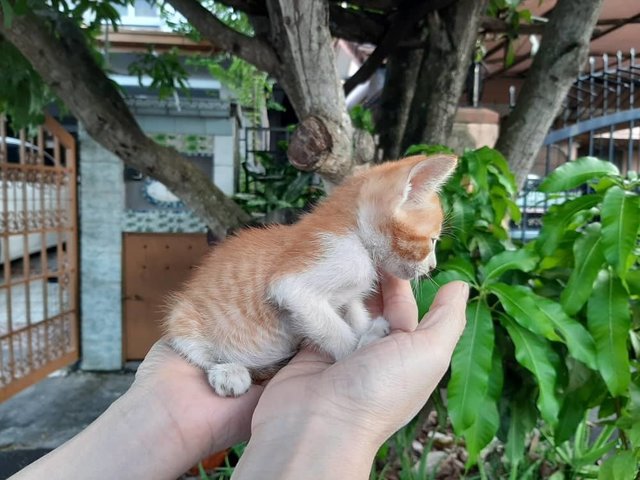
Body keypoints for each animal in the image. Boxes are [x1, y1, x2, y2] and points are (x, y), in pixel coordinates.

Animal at [164, 155, 456, 398]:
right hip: (182, 317)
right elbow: (333, 329)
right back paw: (227, 371)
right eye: (432, 241)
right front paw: (358, 349)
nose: (432, 266)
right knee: (195, 351)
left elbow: (354, 312)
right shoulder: (296, 281)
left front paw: (366, 329)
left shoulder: (347, 297)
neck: (356, 236)